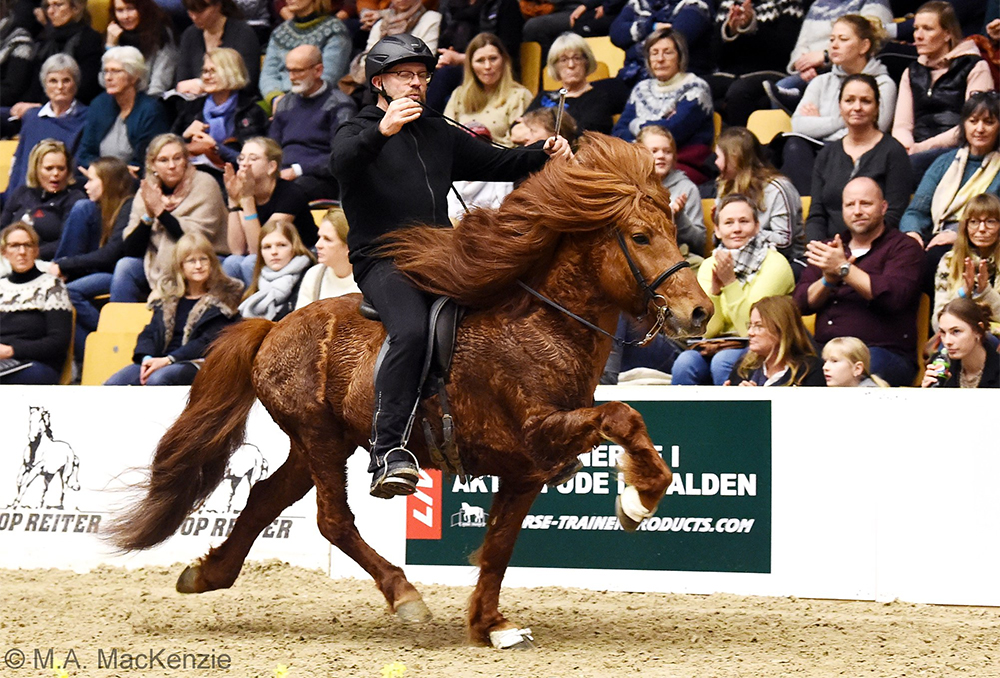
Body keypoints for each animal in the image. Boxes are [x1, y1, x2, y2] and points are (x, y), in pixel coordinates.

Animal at [109, 133, 712, 648]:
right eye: (641, 237)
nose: (699, 311)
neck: (541, 325)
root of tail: (272, 328)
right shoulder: (535, 433)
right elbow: (623, 416)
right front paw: (638, 499)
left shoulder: (525, 469)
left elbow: (499, 545)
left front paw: (491, 625)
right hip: (319, 439)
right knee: (333, 520)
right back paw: (403, 594)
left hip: (319, 444)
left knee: (263, 500)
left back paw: (207, 573)